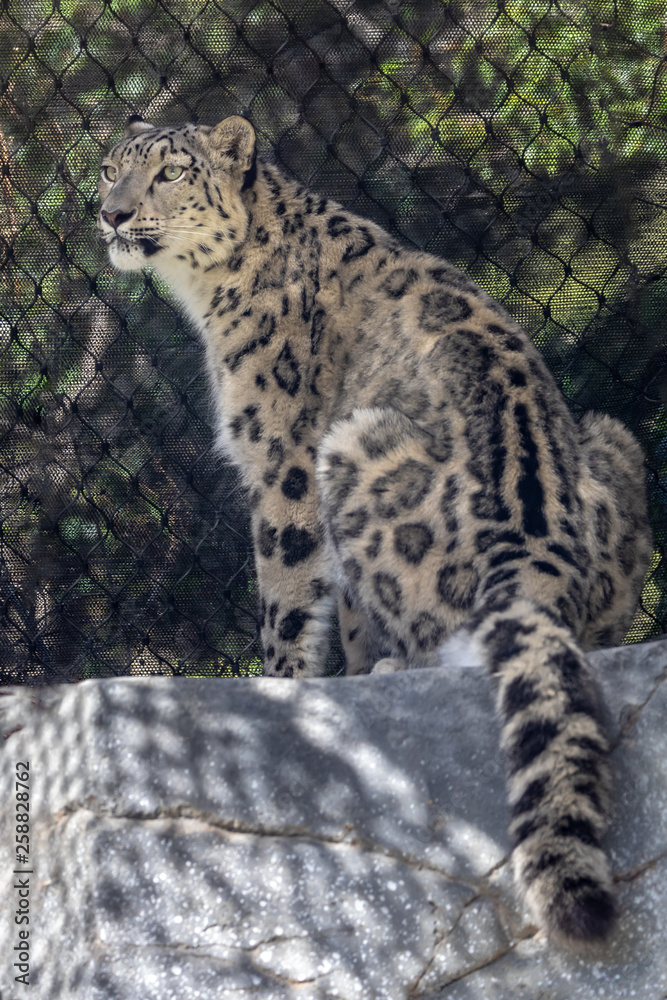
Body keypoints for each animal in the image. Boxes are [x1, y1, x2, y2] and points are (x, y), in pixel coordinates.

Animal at [98, 114, 652, 948]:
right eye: (109, 169)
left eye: (169, 173)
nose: (112, 214)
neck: (207, 295)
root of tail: (537, 537)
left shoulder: (283, 463)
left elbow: (289, 596)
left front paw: (289, 685)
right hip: (613, 439)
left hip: (350, 446)